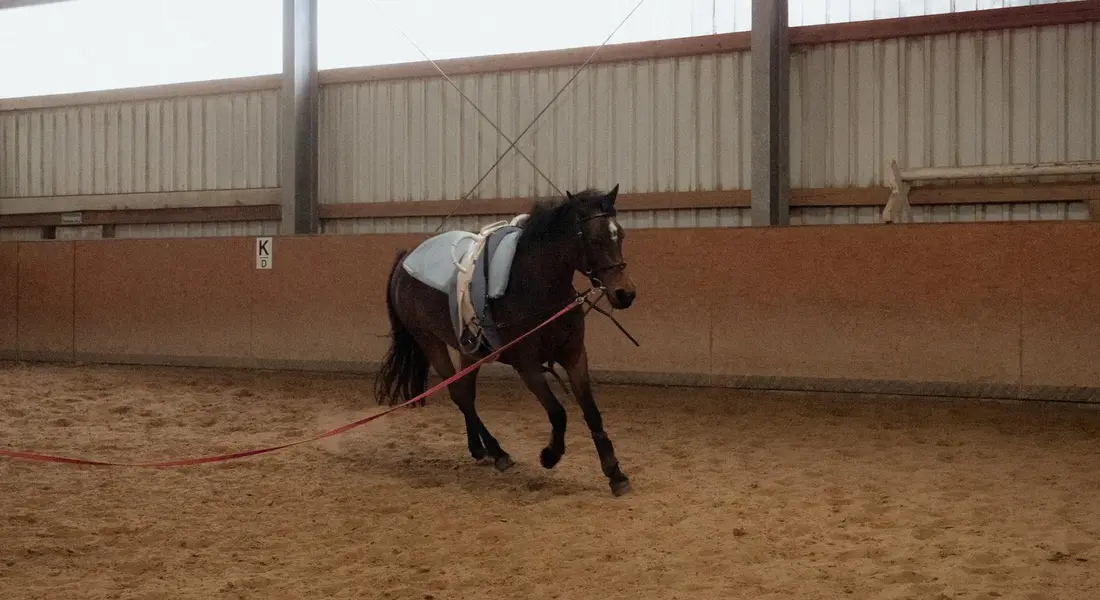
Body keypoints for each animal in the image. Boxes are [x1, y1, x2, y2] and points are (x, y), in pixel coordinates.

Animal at [373, 185, 637, 496]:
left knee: (467, 393)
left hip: (470, 350)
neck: (536, 286)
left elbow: (592, 412)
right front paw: (549, 456)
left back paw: (480, 449)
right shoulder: (527, 366)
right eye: (595, 240)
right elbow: (558, 412)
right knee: (460, 395)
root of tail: (406, 260)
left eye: (620, 235)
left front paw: (615, 473)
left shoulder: (574, 356)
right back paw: (497, 453)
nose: (625, 294)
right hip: (430, 342)